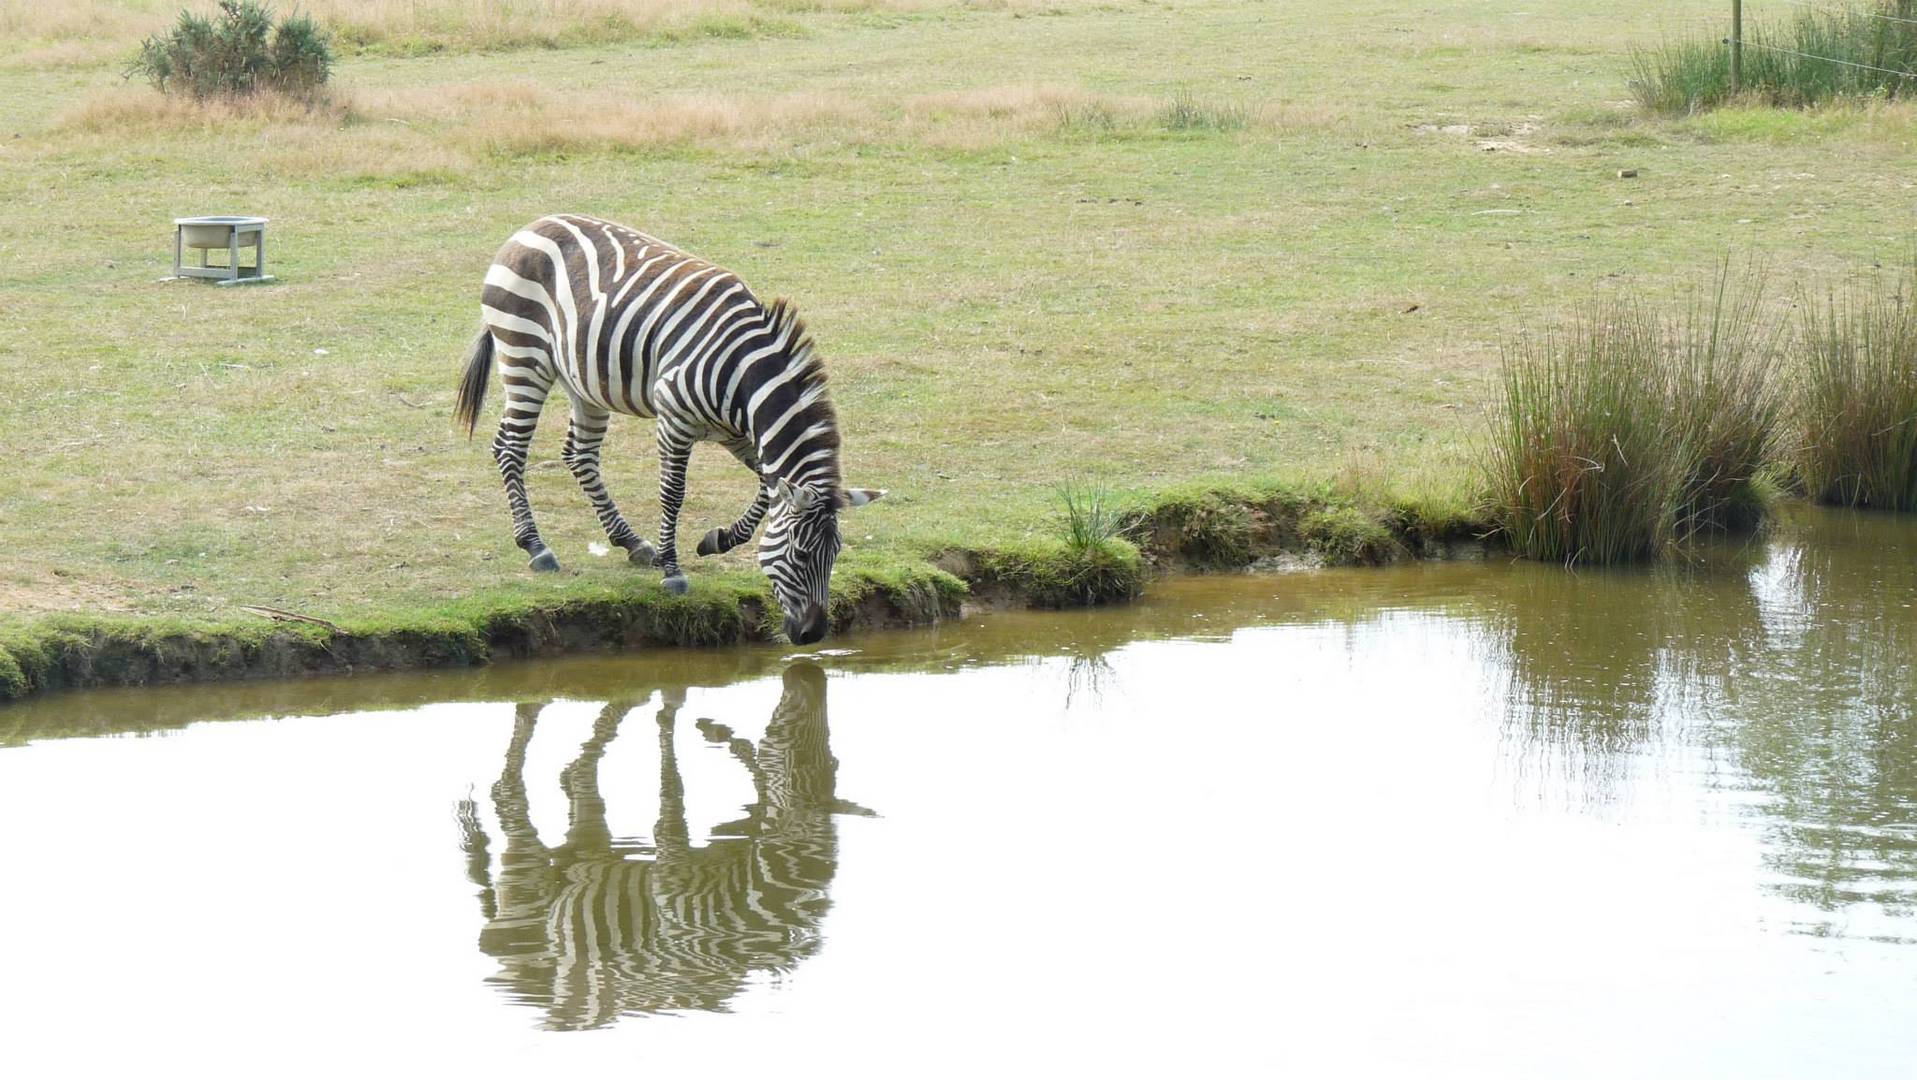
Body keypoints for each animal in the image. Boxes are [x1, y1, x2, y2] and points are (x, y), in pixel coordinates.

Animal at [452, 215, 885, 648]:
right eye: (801, 554)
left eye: (836, 553)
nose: (813, 634)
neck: (744, 380)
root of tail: (531, 226)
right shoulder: (674, 421)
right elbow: (673, 494)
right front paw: (673, 572)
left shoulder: (739, 436)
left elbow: (766, 488)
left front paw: (718, 539)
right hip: (525, 357)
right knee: (510, 448)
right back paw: (536, 546)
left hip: (585, 381)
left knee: (580, 455)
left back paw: (631, 542)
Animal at [452, 663, 866, 1028]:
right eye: (804, 758)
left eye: (834, 763)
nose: (810, 675)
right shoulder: (673, 871)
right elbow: (673, 786)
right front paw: (711, 733)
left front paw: (716, 732)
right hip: (527, 893)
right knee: (510, 798)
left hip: (584, 861)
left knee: (579, 787)